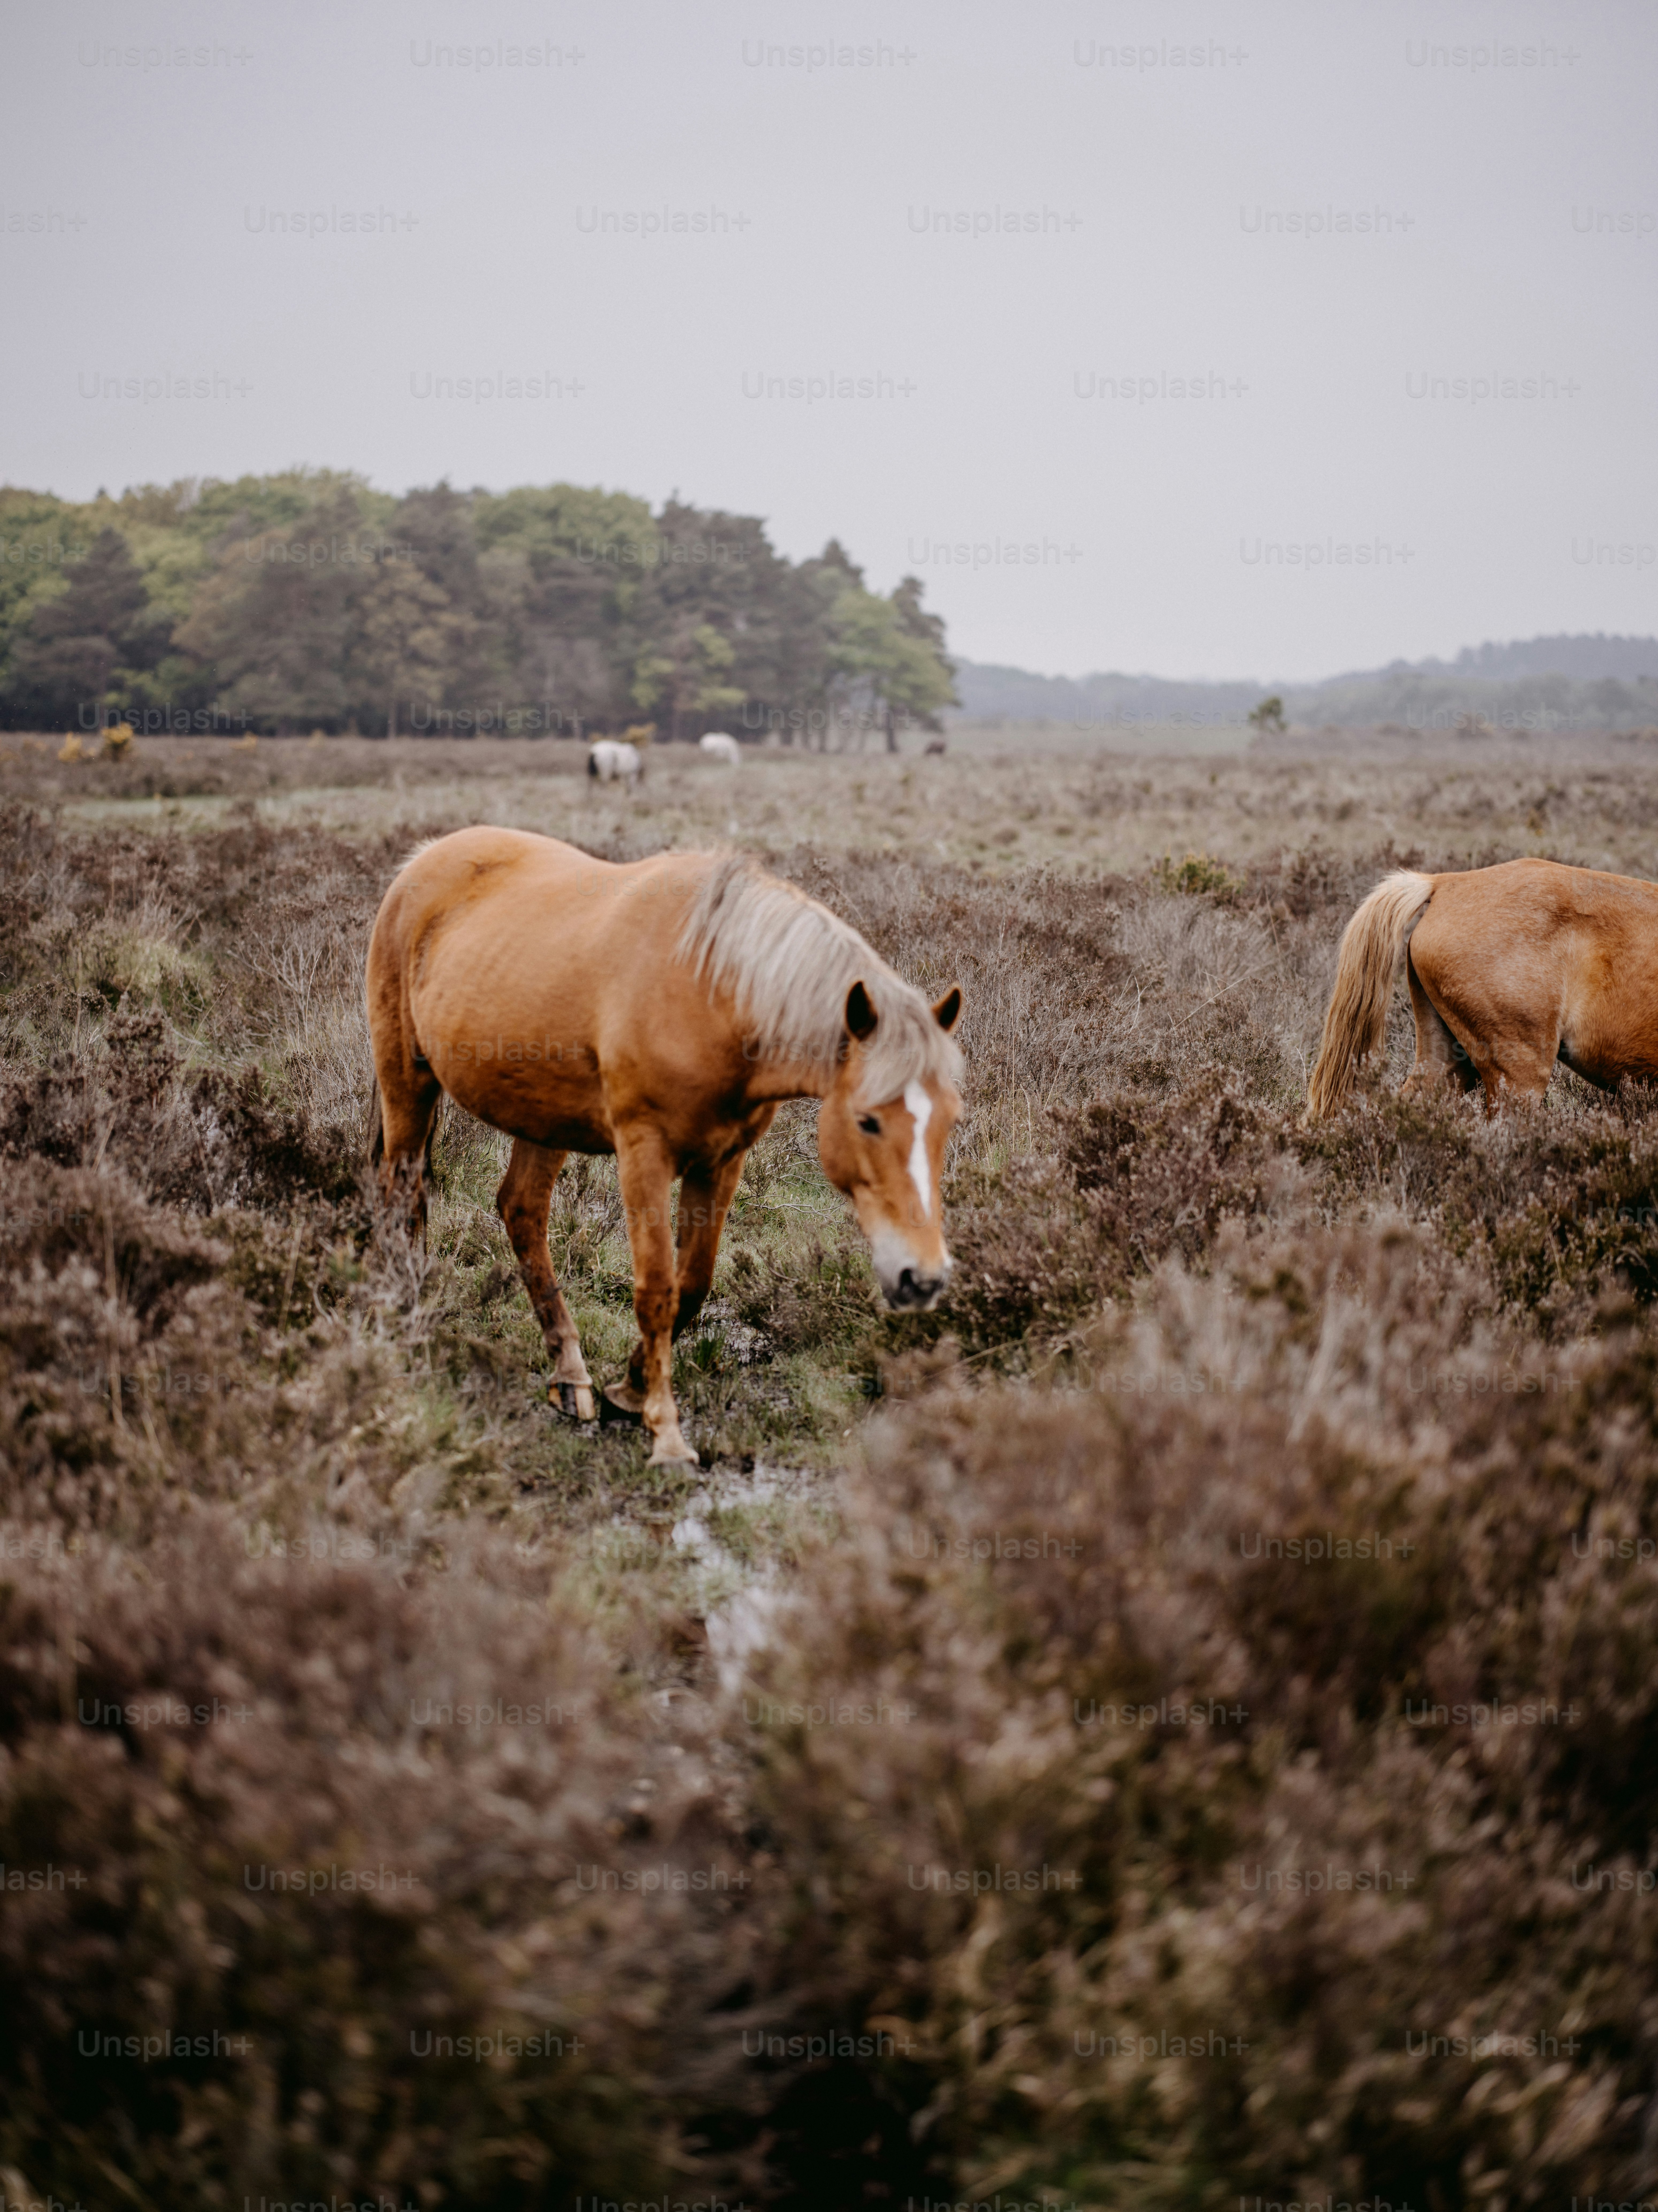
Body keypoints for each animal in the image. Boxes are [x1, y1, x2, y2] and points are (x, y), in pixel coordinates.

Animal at [366, 830, 964, 1465]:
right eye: (867, 1121)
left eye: (950, 1120)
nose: (921, 1278)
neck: (713, 994)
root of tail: (422, 860)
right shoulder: (643, 1154)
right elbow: (656, 1288)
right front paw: (666, 1432)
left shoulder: (723, 1160)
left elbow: (693, 1284)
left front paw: (628, 1387)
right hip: (407, 1083)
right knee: (402, 1196)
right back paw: (407, 1316)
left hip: (542, 1120)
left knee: (521, 1210)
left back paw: (570, 1376)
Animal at [698, 732, 741, 766]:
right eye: (737, 758)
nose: (737, 764)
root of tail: (703, 738)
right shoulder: (721, 749)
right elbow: (720, 754)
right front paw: (720, 758)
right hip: (705, 747)